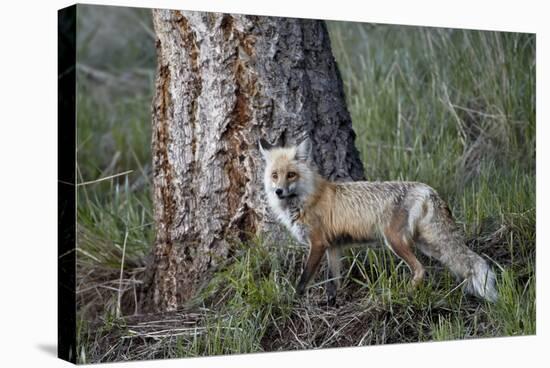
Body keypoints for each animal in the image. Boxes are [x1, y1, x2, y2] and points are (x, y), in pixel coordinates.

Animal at [258, 138, 500, 304]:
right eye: (274, 175)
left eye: (291, 175)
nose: (278, 191)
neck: (307, 198)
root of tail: (427, 189)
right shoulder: (332, 246)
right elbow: (334, 281)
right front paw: (331, 303)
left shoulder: (317, 244)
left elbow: (304, 278)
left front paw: (293, 300)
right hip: (428, 245)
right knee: (456, 261)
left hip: (394, 241)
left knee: (421, 269)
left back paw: (403, 294)